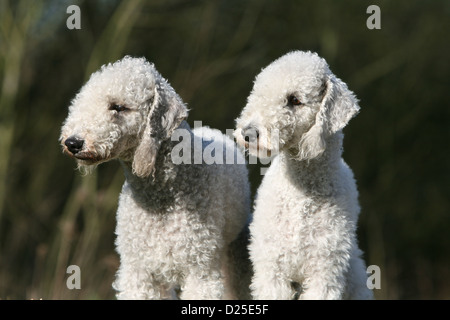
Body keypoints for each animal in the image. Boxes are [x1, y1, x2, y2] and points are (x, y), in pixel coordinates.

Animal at [60, 56, 251, 298]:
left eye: (118, 107)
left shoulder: (200, 270)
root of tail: (210, 130)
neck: (162, 195)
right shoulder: (139, 272)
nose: (72, 142)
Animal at [236, 50, 372, 300]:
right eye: (259, 90)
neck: (303, 191)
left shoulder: (324, 273)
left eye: (295, 100)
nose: (248, 133)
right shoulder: (272, 270)